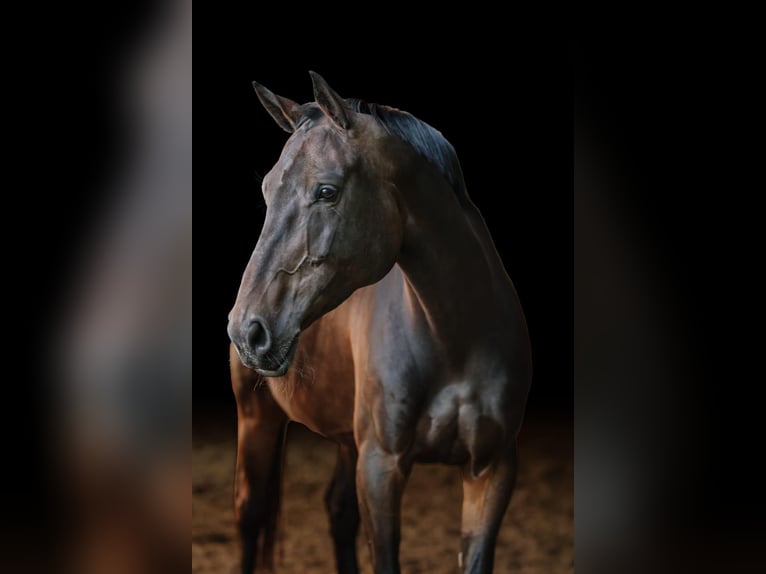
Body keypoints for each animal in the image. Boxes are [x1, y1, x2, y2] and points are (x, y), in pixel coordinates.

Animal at [227, 72, 532, 574]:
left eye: (326, 191)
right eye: (267, 191)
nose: (246, 330)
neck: (455, 340)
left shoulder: (492, 470)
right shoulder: (381, 466)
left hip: (345, 439)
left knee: (336, 511)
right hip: (258, 419)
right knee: (250, 516)